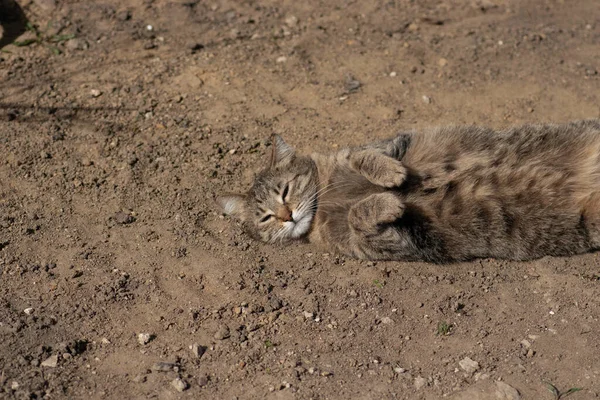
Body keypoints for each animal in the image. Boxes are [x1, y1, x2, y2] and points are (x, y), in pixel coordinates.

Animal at [217, 119, 600, 262]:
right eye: (265, 218)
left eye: (284, 191)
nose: (287, 216)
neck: (324, 199)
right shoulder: (388, 243)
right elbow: (359, 216)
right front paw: (389, 200)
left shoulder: (387, 143)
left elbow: (362, 155)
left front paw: (391, 175)